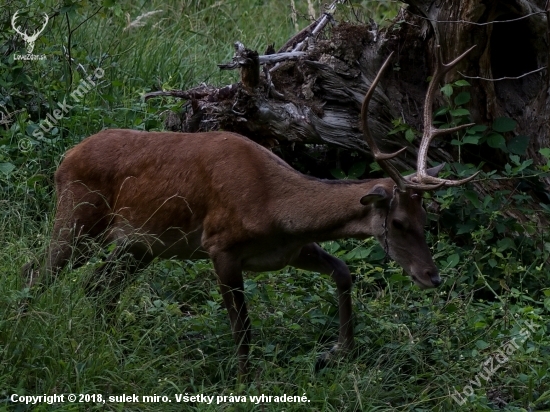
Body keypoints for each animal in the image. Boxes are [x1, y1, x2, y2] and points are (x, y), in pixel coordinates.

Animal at [22, 45, 478, 376]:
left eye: (425, 221)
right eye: (398, 223)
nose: (432, 277)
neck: (276, 207)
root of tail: (66, 158)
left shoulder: (290, 251)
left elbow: (343, 271)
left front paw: (338, 352)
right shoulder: (219, 245)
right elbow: (242, 328)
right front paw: (244, 382)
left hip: (140, 244)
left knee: (99, 288)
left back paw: (114, 348)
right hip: (79, 216)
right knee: (38, 270)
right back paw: (26, 322)